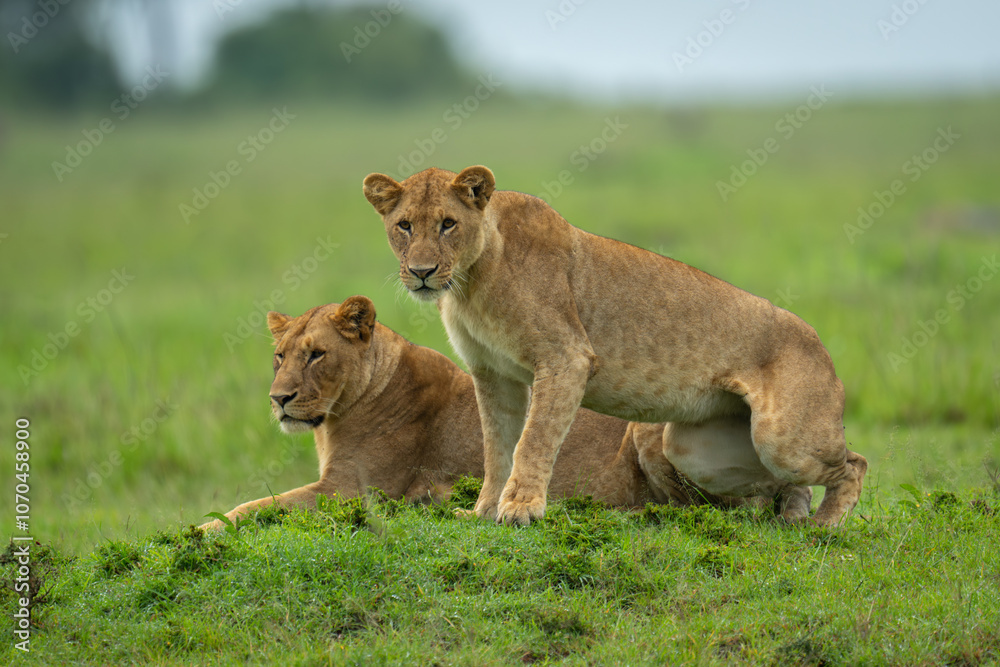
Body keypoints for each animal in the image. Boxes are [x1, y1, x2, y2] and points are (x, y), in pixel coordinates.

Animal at [199, 297, 775, 531]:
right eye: (280, 356)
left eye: (317, 354)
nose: (279, 399)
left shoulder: (352, 491)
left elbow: (256, 505)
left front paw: (205, 529)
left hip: (656, 431)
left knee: (717, 510)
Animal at [362, 165, 866, 527]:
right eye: (404, 226)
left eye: (448, 224)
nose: (422, 272)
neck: (470, 282)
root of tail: (820, 344)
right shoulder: (493, 374)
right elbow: (496, 446)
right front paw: (484, 511)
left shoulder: (565, 358)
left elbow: (533, 439)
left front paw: (521, 509)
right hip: (693, 449)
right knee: (784, 482)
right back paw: (794, 516)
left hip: (782, 438)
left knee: (854, 463)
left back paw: (824, 525)